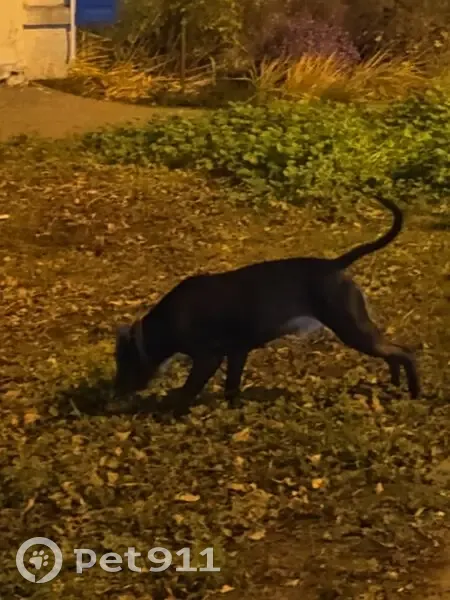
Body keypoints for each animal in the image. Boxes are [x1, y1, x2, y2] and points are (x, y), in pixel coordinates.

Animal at [114, 196, 419, 412]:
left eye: (123, 362)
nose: (114, 395)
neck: (165, 324)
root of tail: (334, 265)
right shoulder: (236, 352)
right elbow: (231, 387)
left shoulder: (208, 358)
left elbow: (188, 390)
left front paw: (168, 410)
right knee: (393, 354)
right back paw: (395, 387)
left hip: (352, 328)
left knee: (404, 353)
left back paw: (415, 394)